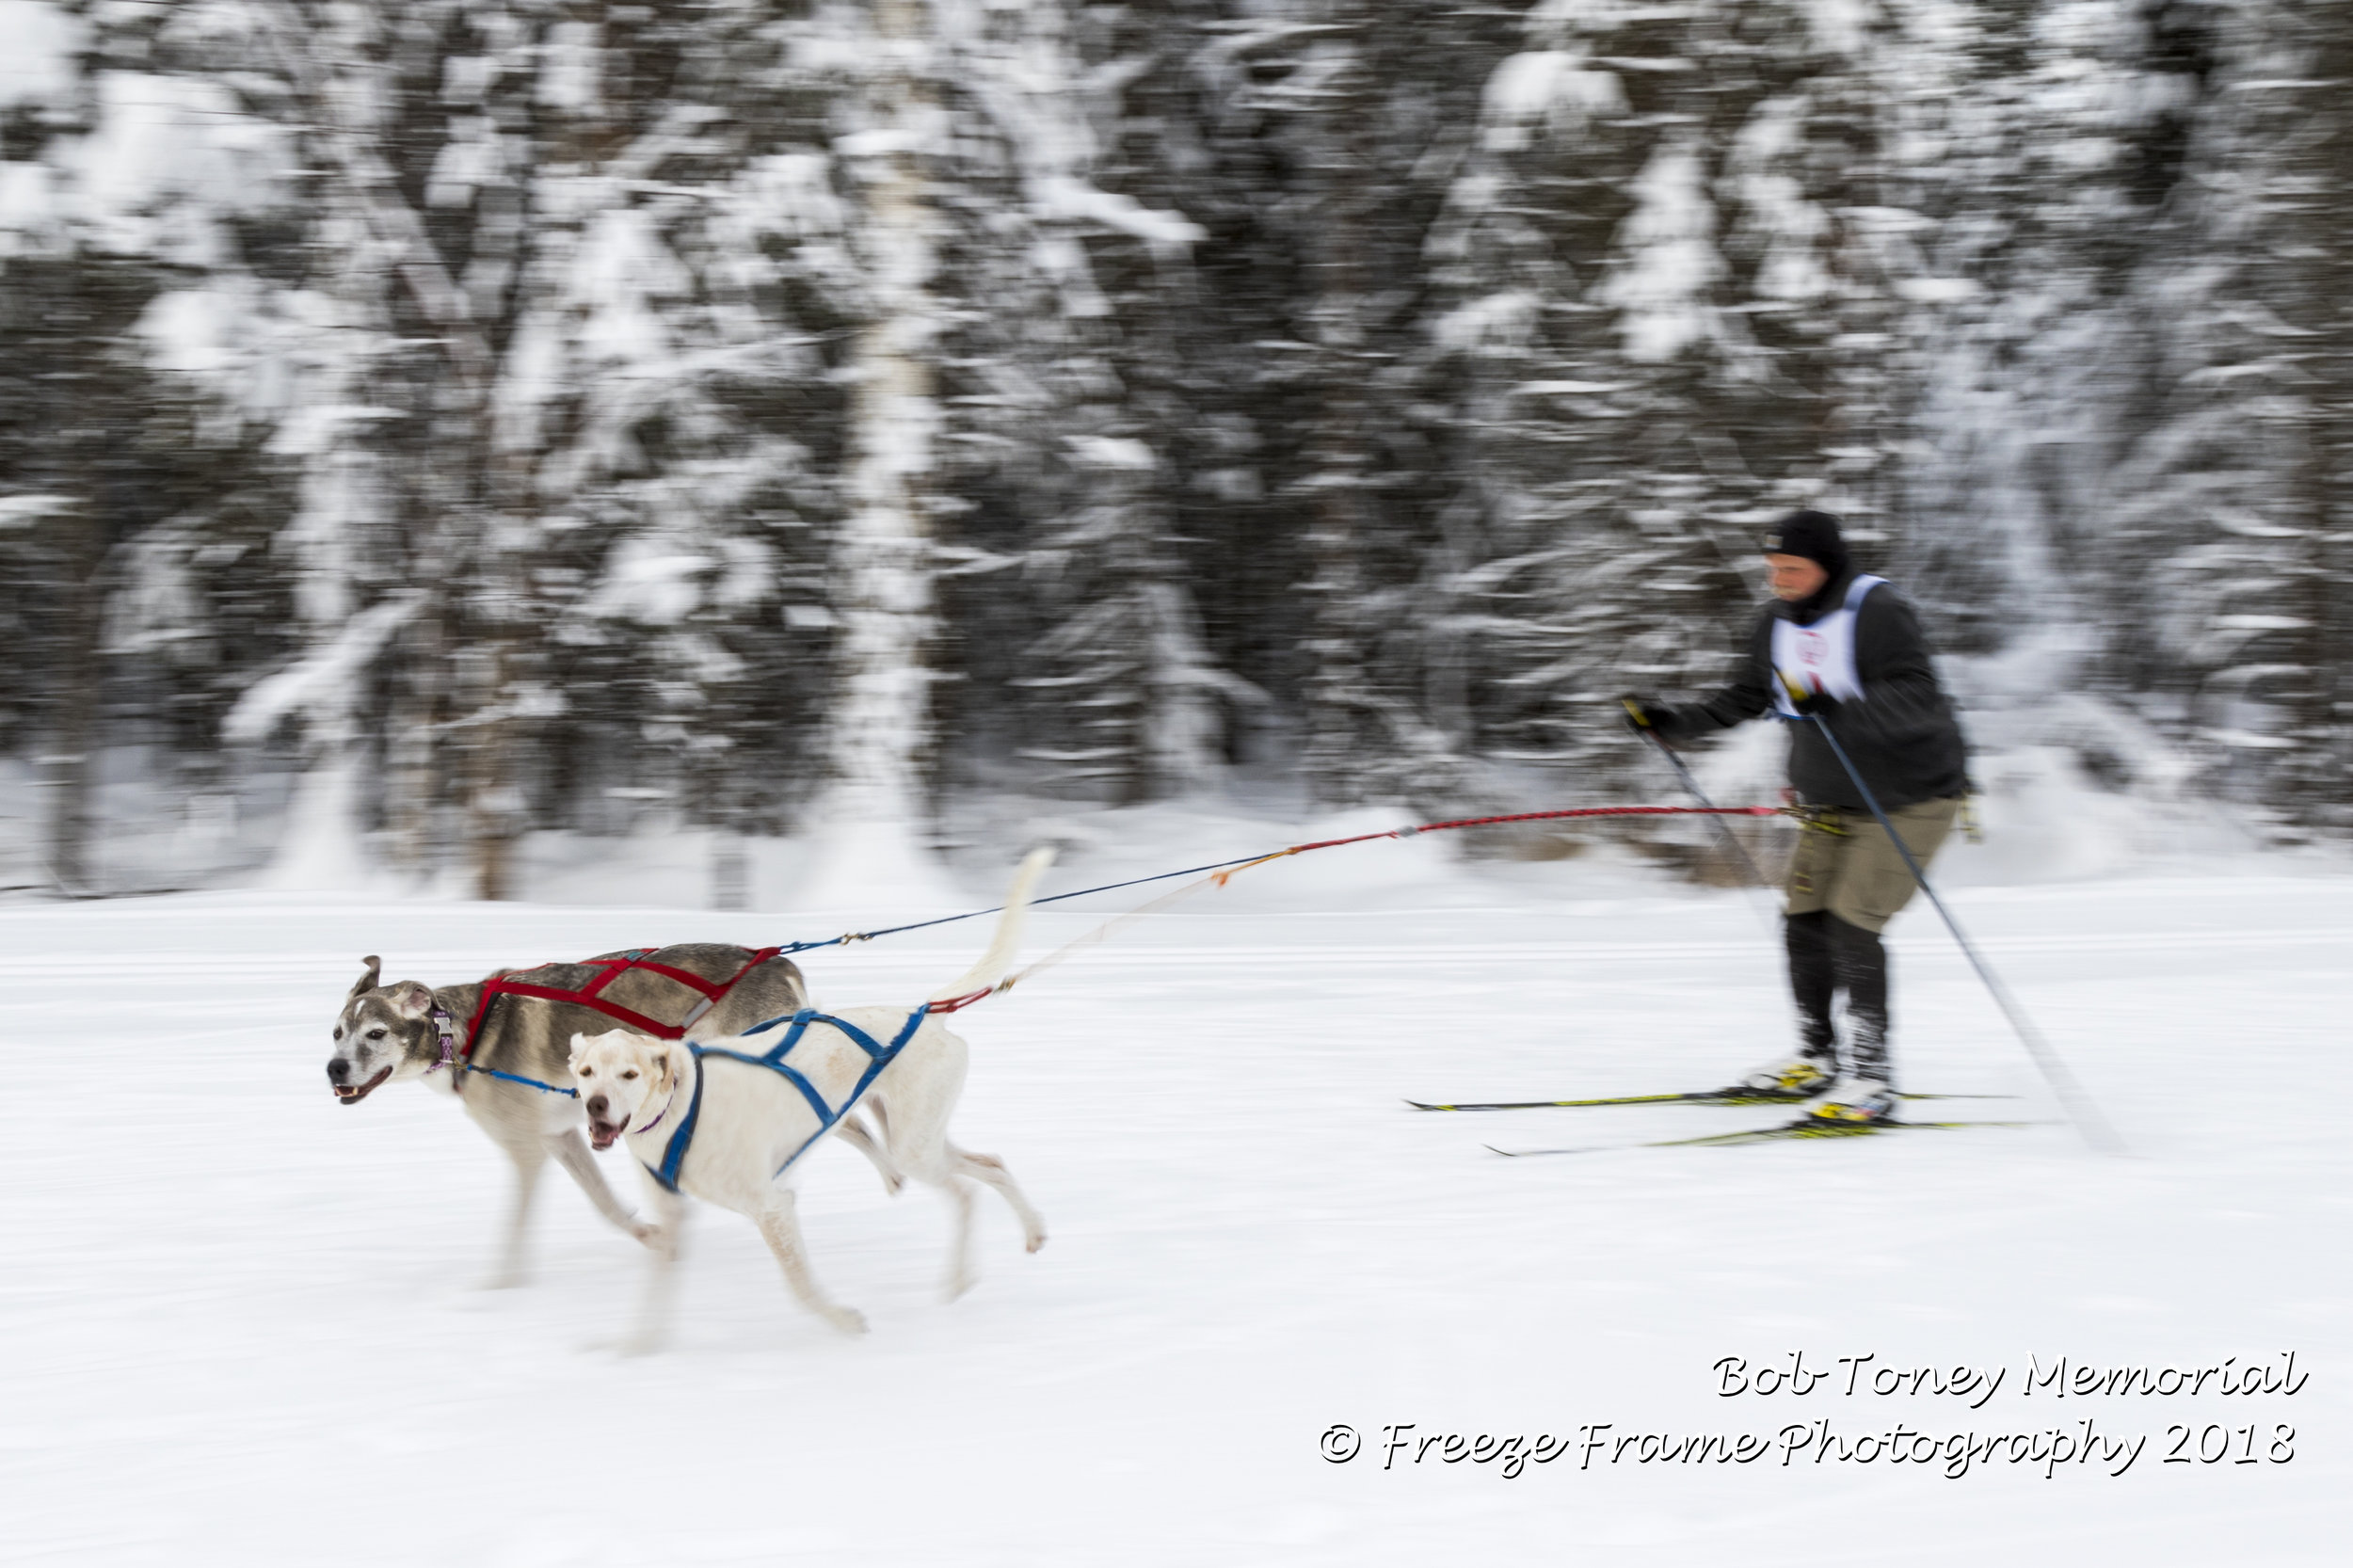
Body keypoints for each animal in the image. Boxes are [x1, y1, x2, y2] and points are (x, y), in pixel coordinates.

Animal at [569, 842, 1049, 1346]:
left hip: (915, 1150)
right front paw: (635, 1349)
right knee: (990, 1166)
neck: (679, 1109)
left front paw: (844, 1321)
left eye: (629, 1074)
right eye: (586, 1072)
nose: (596, 1104)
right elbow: (653, 1300)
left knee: (968, 1188)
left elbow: (800, 1286)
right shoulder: (674, 1219)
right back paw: (1020, 1240)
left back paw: (962, 1276)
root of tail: (922, 1012)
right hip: (917, 1139)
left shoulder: (773, 1206)